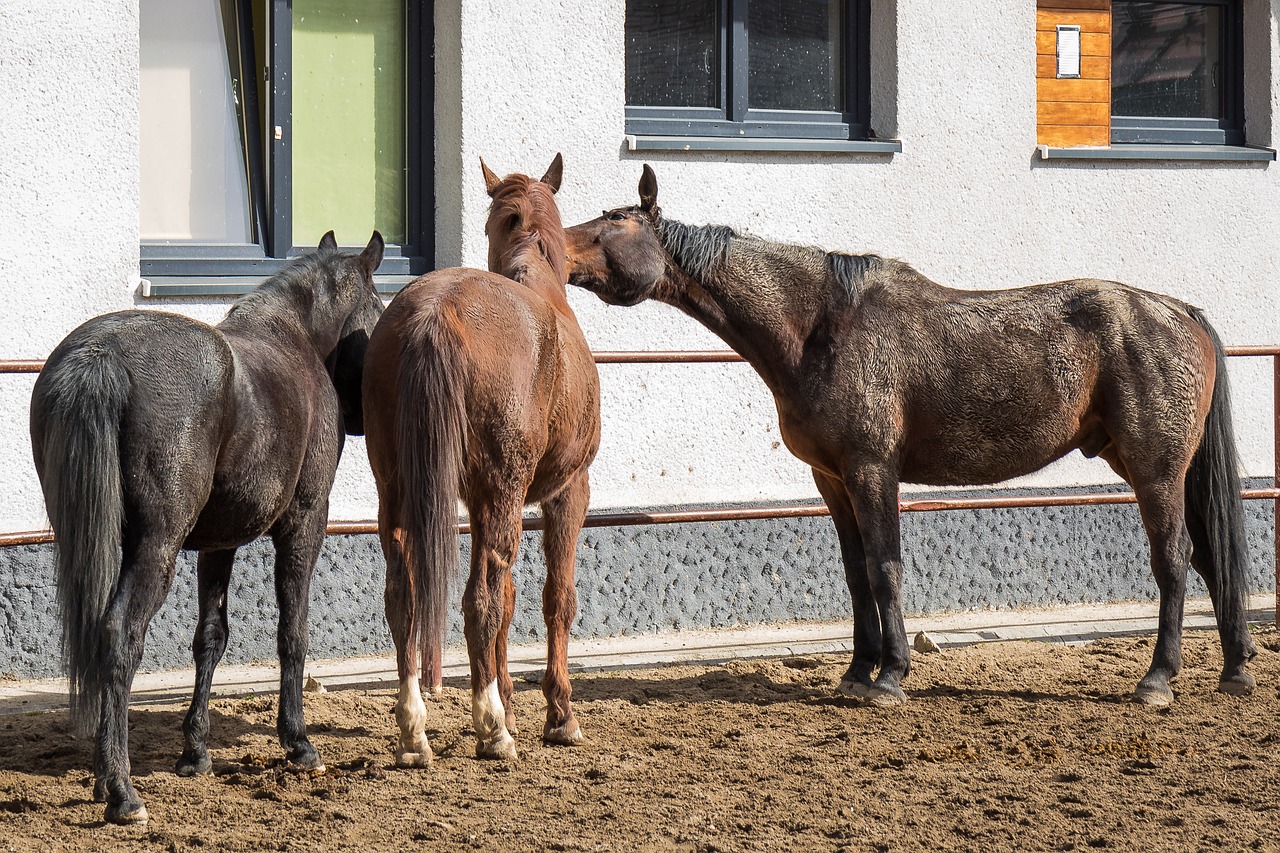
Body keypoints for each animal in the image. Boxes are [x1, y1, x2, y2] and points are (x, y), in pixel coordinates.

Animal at [28, 229, 384, 819]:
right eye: (379, 307)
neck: (298, 341)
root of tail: (101, 355)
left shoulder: (219, 542)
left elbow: (210, 638)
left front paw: (195, 752)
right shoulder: (305, 521)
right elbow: (292, 630)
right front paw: (298, 741)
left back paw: (107, 776)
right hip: (157, 545)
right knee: (120, 632)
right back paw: (120, 790)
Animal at [360, 154, 599, 763]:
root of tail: (437, 315)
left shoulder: (472, 500)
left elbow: (510, 601)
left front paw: (511, 702)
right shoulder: (568, 491)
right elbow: (554, 598)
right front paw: (557, 716)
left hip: (400, 492)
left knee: (404, 597)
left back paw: (414, 730)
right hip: (505, 491)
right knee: (481, 601)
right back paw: (492, 729)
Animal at [568, 163, 1259, 701]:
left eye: (612, 226)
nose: (555, 249)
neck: (819, 327)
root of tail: (1177, 310)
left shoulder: (873, 470)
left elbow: (885, 566)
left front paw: (890, 676)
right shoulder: (832, 479)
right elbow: (855, 574)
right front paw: (856, 671)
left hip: (1155, 469)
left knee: (1174, 558)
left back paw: (1158, 679)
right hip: (1156, 467)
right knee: (1208, 553)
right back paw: (1235, 669)